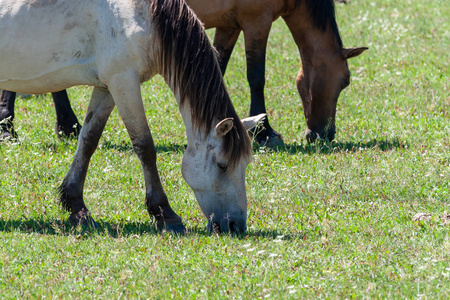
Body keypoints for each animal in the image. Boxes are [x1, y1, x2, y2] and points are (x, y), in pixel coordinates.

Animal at [0, 0, 266, 234]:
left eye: (245, 164)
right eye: (222, 165)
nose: (236, 225)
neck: (141, 14)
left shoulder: (107, 87)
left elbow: (88, 140)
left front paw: (77, 207)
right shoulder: (123, 81)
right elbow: (144, 147)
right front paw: (165, 214)